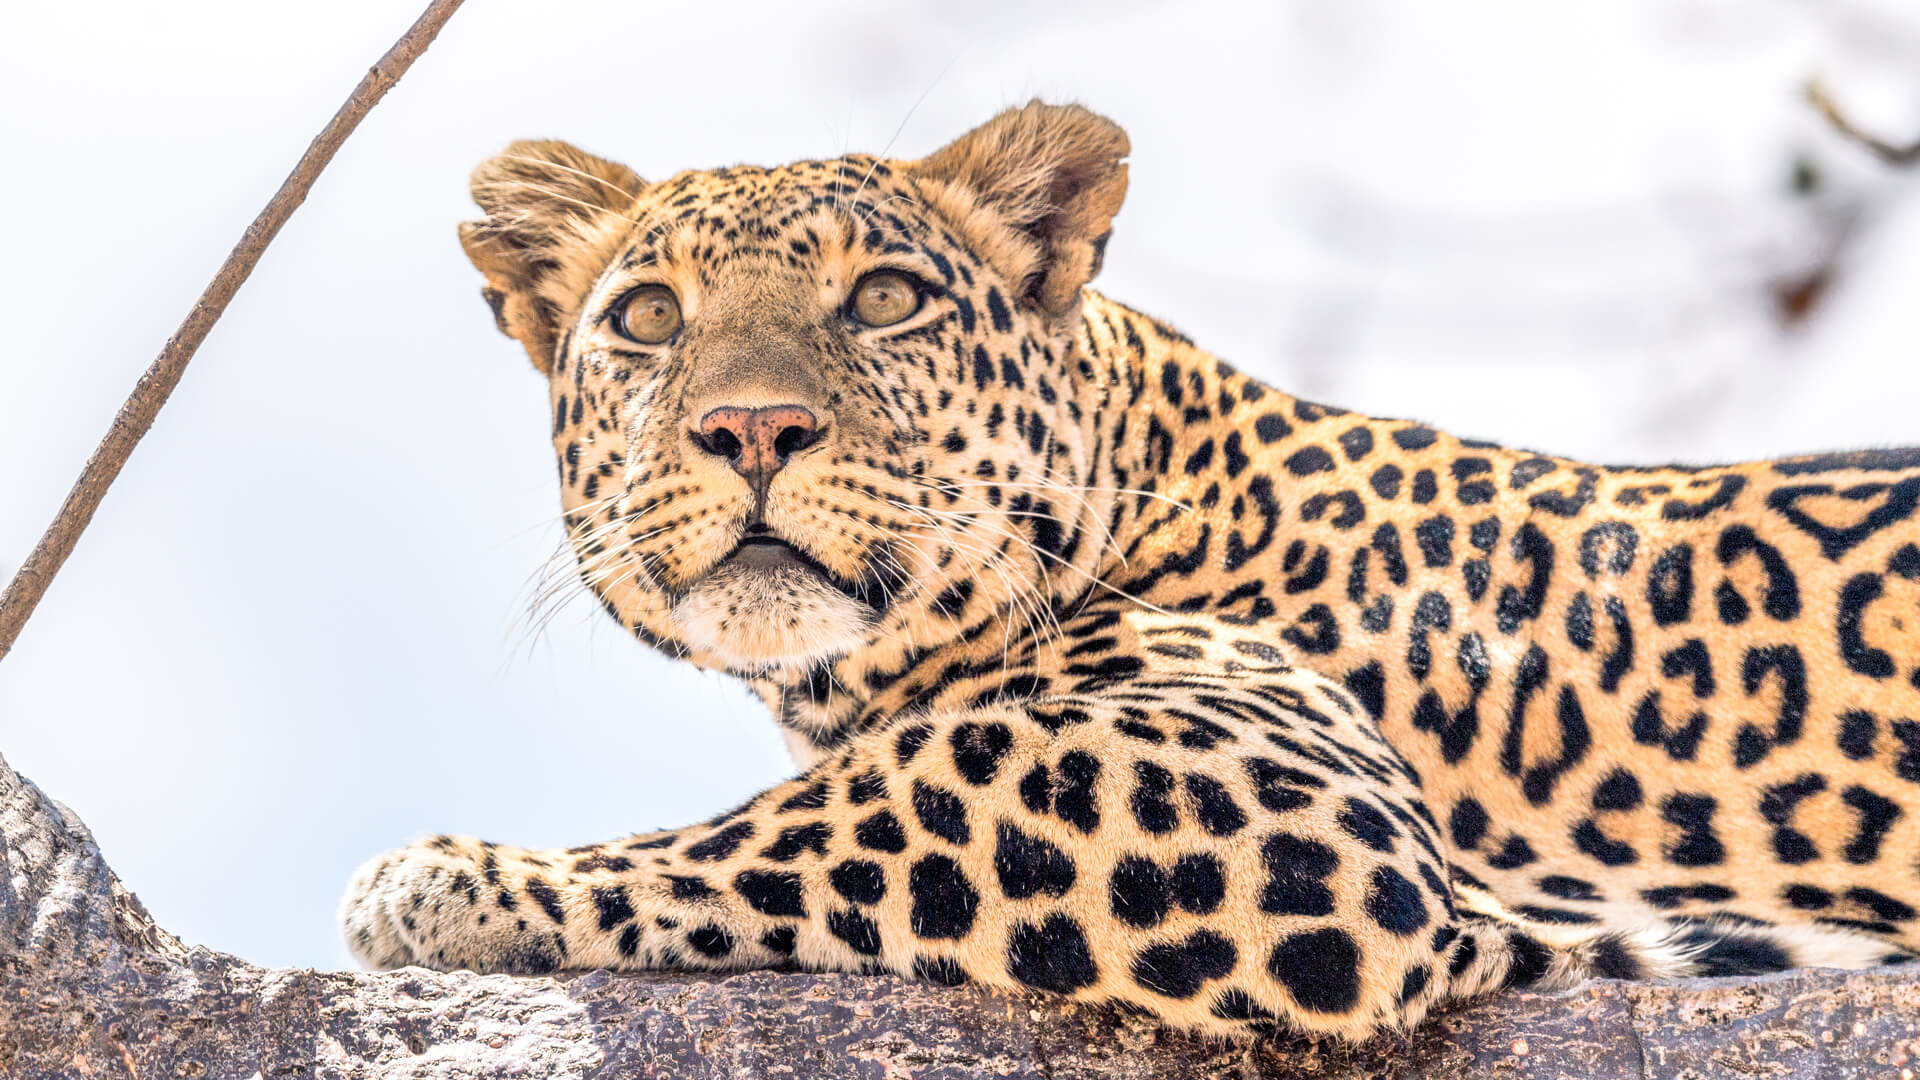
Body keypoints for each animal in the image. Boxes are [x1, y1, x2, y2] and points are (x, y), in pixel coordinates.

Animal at [341, 101, 1920, 1042]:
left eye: (886, 298)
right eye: (650, 319)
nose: (753, 427)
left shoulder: (1304, 803)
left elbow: (875, 790)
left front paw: (455, 880)